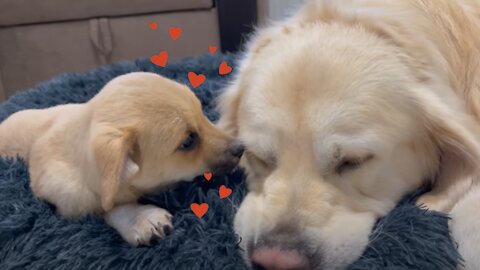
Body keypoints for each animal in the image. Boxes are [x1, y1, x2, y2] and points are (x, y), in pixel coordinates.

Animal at [0, 73, 244, 246]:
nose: (241, 148)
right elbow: (106, 208)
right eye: (188, 141)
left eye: (203, 114)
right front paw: (141, 217)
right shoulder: (69, 204)